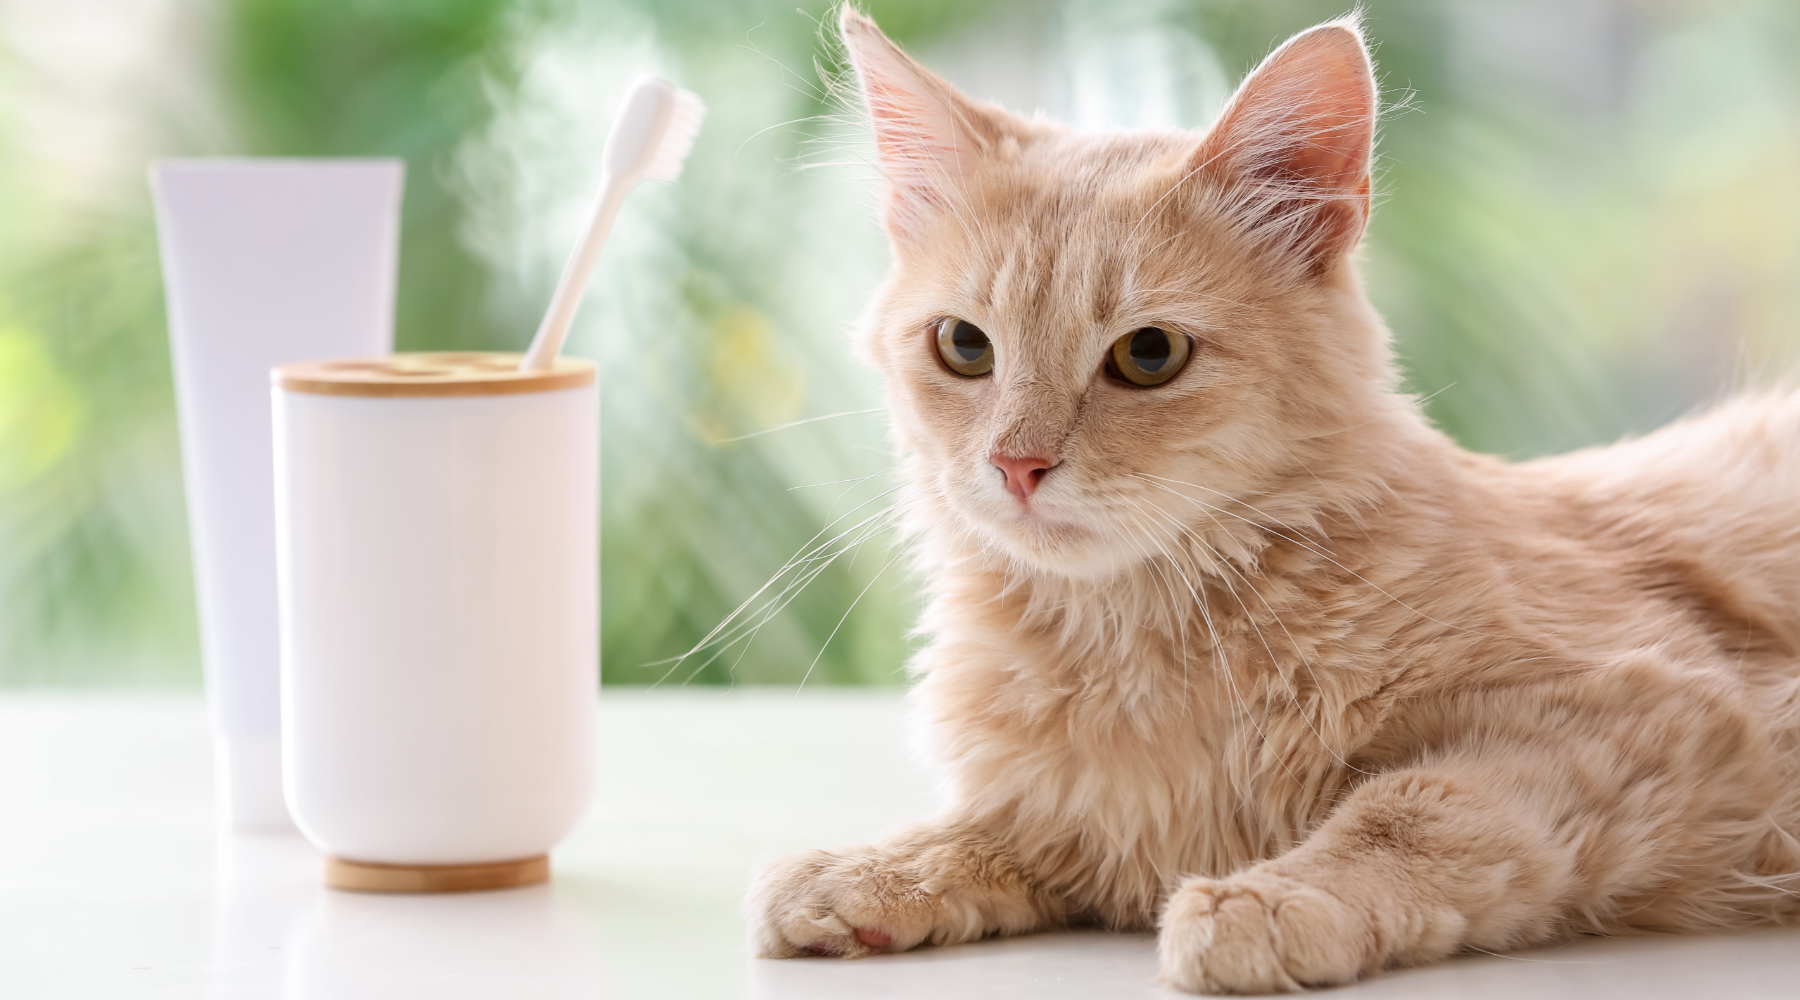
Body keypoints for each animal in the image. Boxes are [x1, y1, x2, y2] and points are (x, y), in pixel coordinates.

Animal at [738, 7, 1800, 992]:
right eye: (964, 347)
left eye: (1149, 354)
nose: (1017, 465)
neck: (1132, 642)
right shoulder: (1079, 821)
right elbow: (990, 831)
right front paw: (871, 873)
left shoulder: (1637, 711)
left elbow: (1408, 812)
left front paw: (1271, 901)